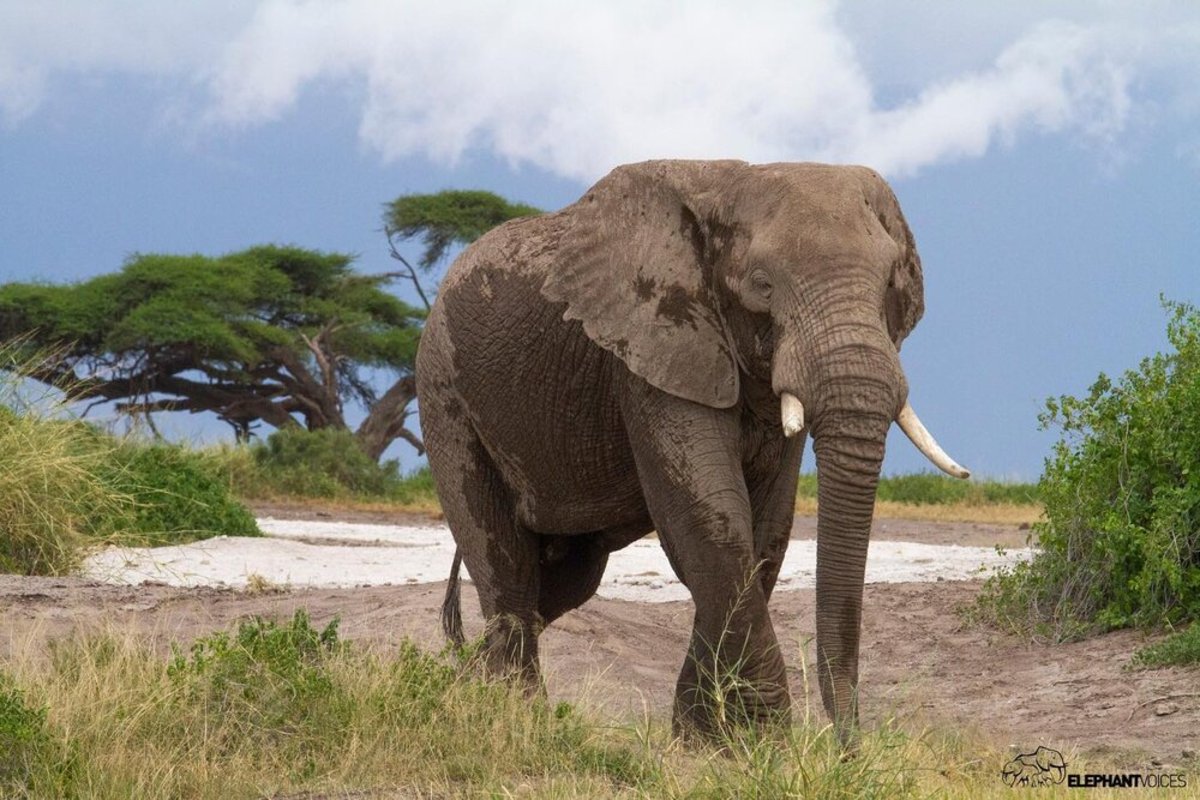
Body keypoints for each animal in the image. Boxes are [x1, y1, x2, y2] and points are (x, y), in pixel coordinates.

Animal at [417, 159, 969, 748]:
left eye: (890, 284)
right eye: (762, 285)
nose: (847, 749)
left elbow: (764, 534)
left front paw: (705, 741)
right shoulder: (654, 347)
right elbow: (711, 523)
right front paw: (759, 742)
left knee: (563, 582)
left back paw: (463, 690)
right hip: (445, 392)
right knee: (508, 570)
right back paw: (508, 718)